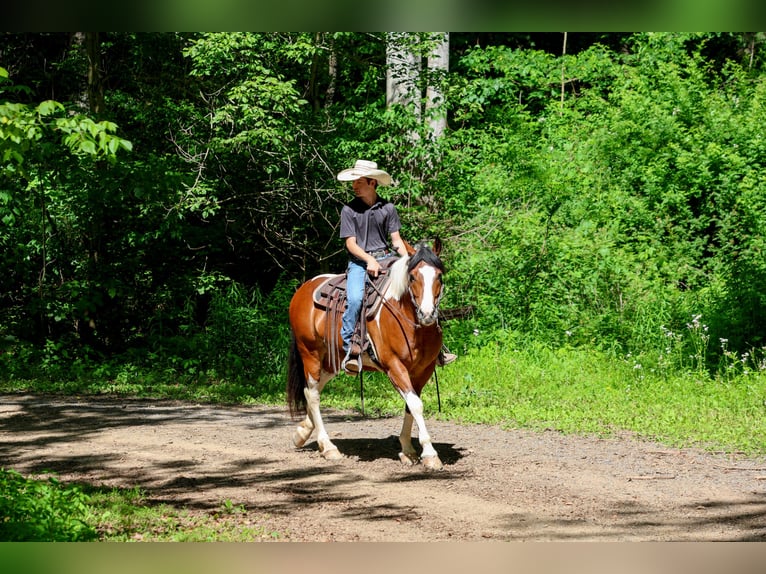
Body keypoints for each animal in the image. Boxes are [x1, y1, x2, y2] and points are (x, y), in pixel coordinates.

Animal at [286, 238, 446, 470]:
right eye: (413, 276)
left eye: (439, 276)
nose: (427, 314)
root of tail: (303, 289)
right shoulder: (394, 366)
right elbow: (416, 404)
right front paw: (430, 454)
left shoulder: (423, 370)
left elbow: (411, 405)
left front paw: (407, 450)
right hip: (310, 352)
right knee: (313, 394)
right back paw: (328, 447)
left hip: (333, 359)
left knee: (314, 387)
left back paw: (302, 433)